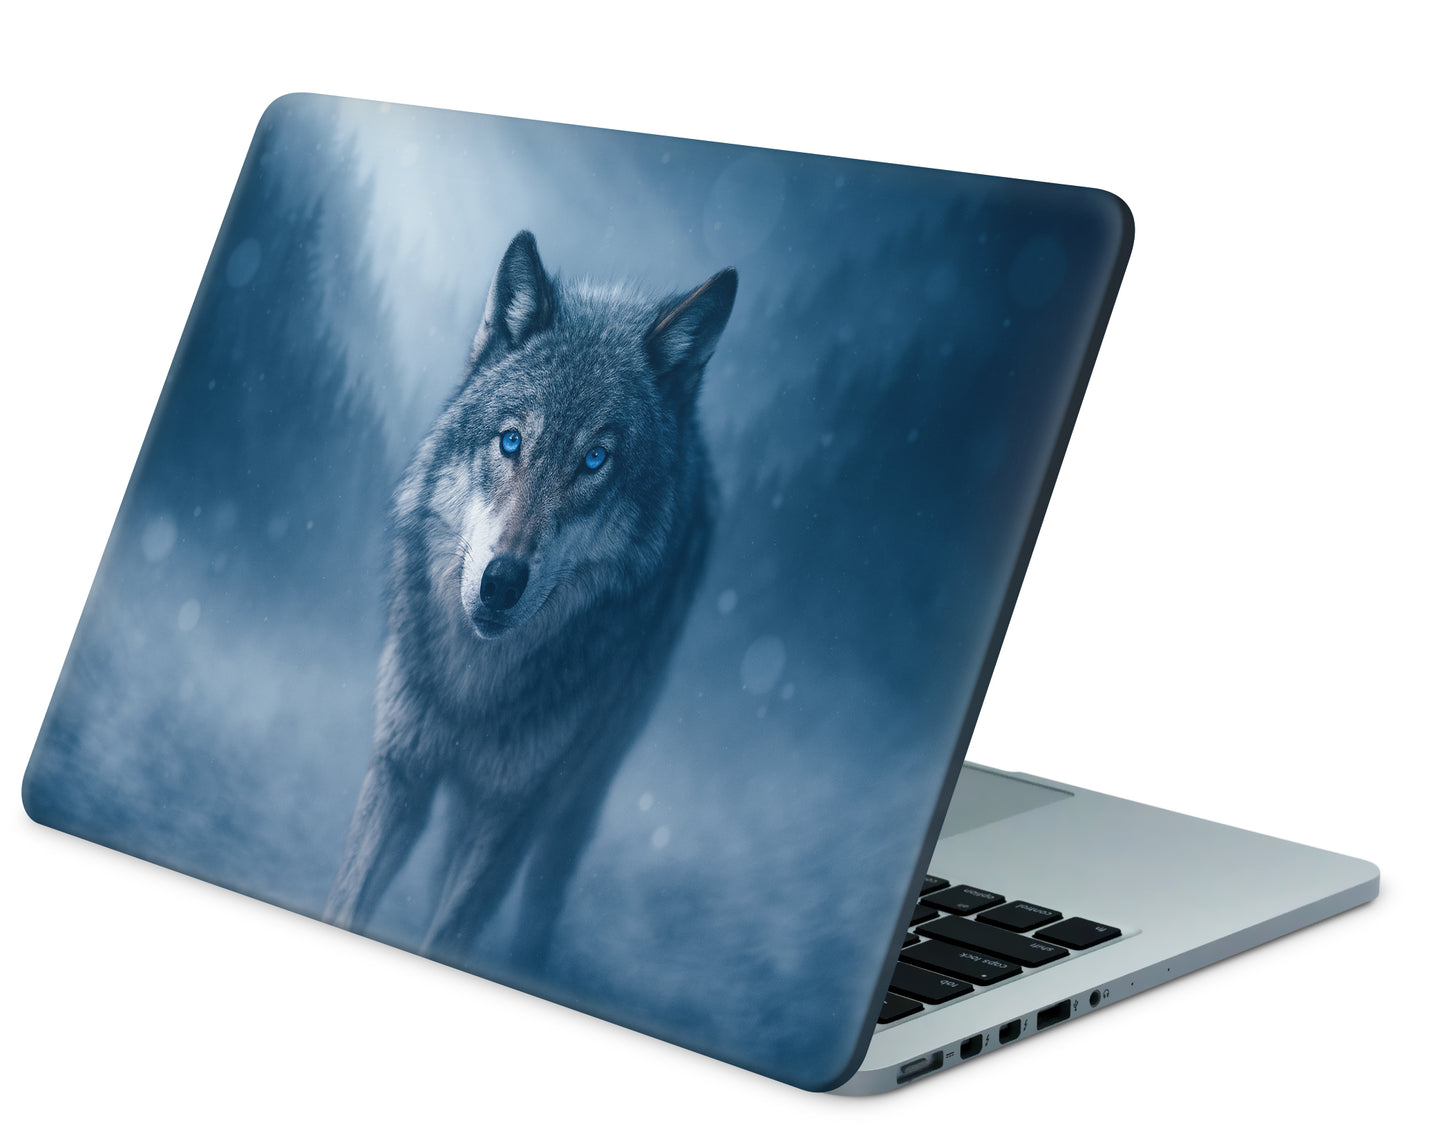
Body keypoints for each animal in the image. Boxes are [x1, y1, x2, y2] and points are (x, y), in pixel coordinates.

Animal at [324, 231, 737, 969]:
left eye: (595, 460)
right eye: (511, 440)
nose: (501, 580)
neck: (475, 685)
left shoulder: (512, 814)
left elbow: (451, 933)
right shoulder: (401, 769)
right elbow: (349, 899)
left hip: (578, 793)